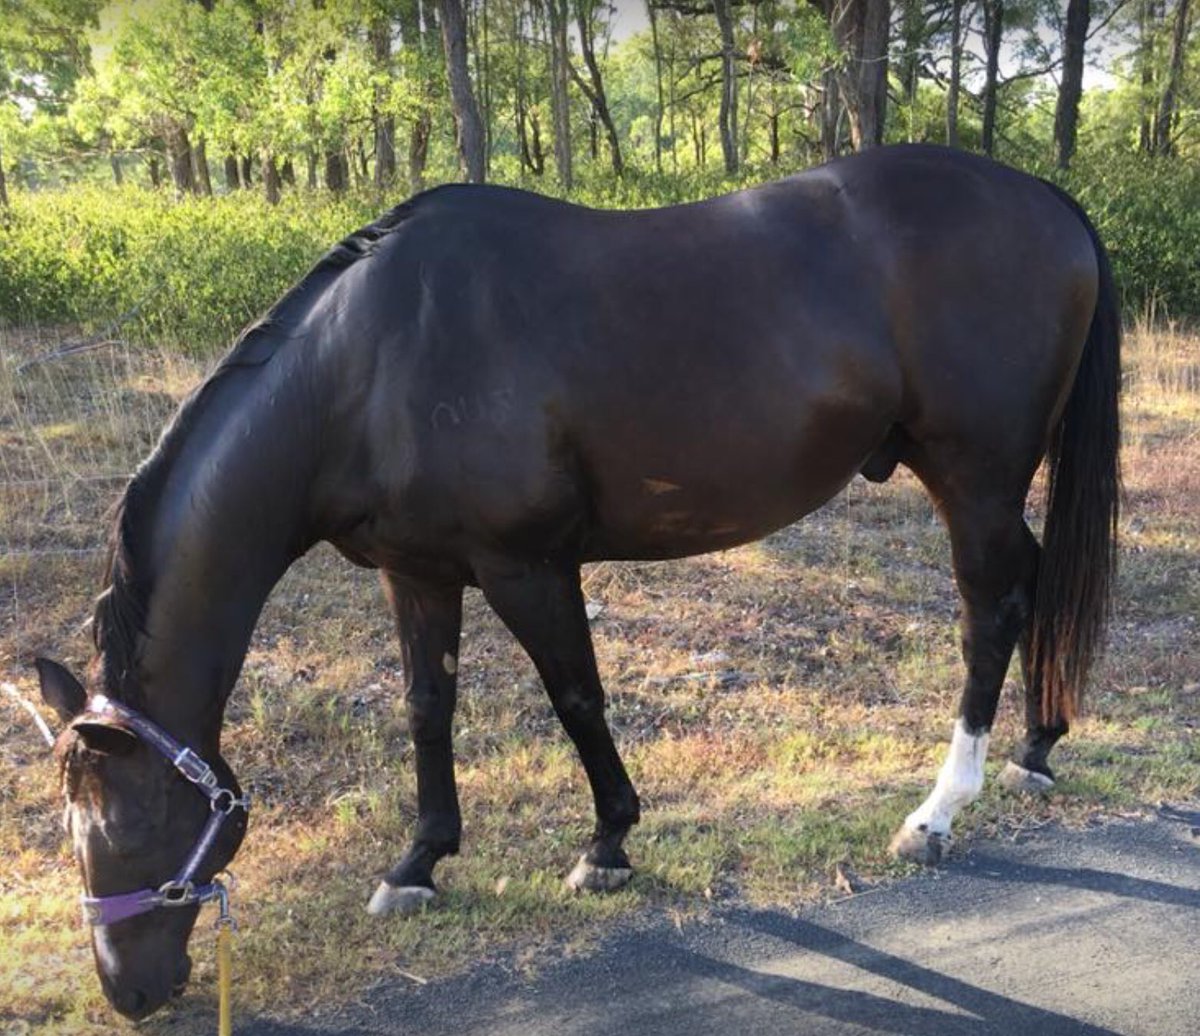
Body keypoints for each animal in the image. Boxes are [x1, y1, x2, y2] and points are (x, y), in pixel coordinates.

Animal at [36, 144, 1119, 1020]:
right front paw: (419, 863)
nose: (129, 993)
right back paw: (1036, 748)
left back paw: (938, 812)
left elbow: (576, 698)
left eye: (130, 822)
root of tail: (1042, 196)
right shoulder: (418, 573)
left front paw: (606, 846)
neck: (372, 364)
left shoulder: (529, 566)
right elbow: (427, 706)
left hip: (973, 476)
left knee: (991, 608)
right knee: (1029, 589)